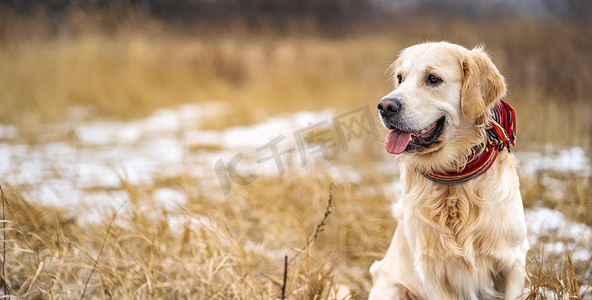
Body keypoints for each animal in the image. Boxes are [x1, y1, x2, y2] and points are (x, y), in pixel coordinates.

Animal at [370, 41, 528, 298]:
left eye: (433, 79)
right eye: (400, 78)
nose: (385, 106)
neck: (453, 178)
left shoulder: (513, 261)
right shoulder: (432, 272)